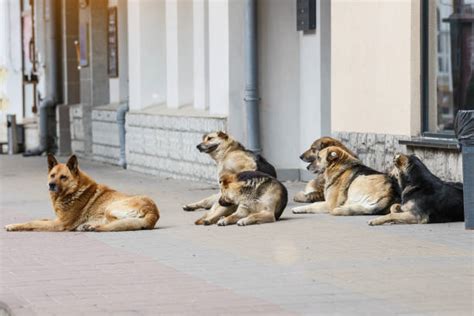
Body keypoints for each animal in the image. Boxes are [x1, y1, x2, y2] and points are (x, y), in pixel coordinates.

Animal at [4, 154, 159, 231]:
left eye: (63, 177)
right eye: (52, 175)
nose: (51, 185)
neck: (74, 191)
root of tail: (153, 212)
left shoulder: (59, 224)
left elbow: (33, 223)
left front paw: (13, 226)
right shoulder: (56, 219)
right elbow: (40, 219)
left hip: (110, 207)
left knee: (115, 223)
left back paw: (92, 226)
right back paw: (89, 226)